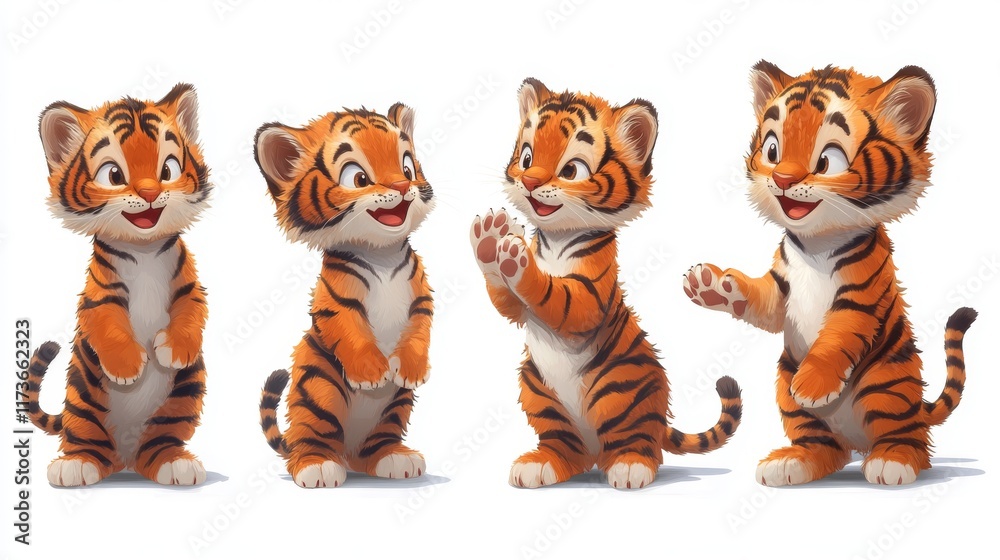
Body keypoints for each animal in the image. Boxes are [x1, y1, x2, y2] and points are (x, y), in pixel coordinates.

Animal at [26, 83, 211, 486]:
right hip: (83, 400)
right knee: (89, 444)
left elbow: (191, 311)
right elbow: (108, 323)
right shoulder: (99, 296)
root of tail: (125, 458)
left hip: (183, 396)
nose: (149, 192)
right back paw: (76, 465)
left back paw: (174, 463)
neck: (144, 249)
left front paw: (175, 349)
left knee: (157, 445)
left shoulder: (189, 286)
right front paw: (127, 368)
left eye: (167, 170)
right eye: (114, 175)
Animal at [255, 104, 435, 488]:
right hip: (318, 389)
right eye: (359, 178)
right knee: (311, 440)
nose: (403, 186)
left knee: (375, 445)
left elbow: (419, 331)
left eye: (407, 167)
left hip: (395, 406)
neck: (382, 253)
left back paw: (394, 458)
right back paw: (317, 466)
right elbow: (352, 331)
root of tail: (347, 451)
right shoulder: (336, 303)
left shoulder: (421, 300)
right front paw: (370, 373)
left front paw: (411, 367)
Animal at [471, 78, 743, 490]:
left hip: (618, 388)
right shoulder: (518, 312)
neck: (557, 238)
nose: (529, 182)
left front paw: (518, 259)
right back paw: (541, 464)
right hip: (538, 389)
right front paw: (490, 239)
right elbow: (506, 300)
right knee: (568, 448)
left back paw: (630, 466)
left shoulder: (588, 296)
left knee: (639, 443)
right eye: (527, 158)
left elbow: (556, 293)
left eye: (571, 169)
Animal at [684, 61, 977, 486]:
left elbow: (835, 337)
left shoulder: (860, 295)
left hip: (886, 385)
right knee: (825, 448)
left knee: (910, 437)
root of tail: (858, 442)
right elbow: (760, 301)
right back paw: (792, 462)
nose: (783, 179)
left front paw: (815, 382)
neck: (816, 244)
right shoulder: (782, 289)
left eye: (827, 161)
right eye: (772, 150)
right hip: (787, 392)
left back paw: (893, 460)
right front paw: (711, 285)